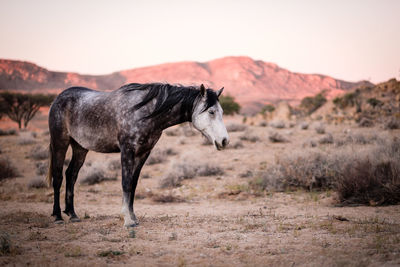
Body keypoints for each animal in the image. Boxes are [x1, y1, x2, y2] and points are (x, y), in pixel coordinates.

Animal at [45, 82, 230, 227]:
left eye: (221, 111)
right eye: (211, 112)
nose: (224, 141)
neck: (145, 111)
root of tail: (59, 98)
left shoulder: (143, 153)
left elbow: (133, 185)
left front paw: (133, 217)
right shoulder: (127, 151)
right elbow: (126, 183)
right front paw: (127, 220)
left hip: (80, 147)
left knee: (71, 175)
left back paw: (73, 214)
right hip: (60, 143)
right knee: (58, 177)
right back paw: (58, 216)